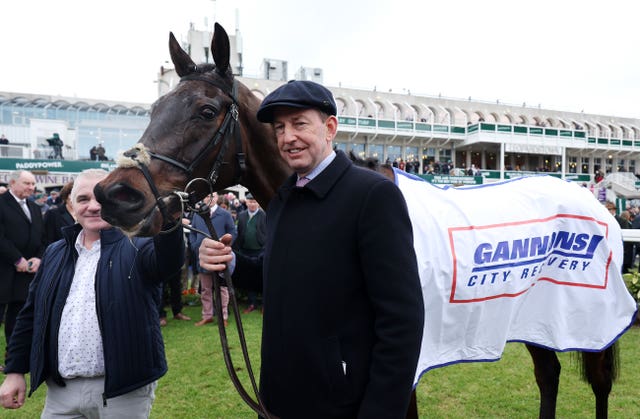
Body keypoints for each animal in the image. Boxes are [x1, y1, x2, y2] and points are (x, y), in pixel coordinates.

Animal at [92, 23, 628, 419]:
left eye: (205, 111)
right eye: (155, 108)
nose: (115, 195)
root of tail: (591, 199)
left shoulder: (399, 366)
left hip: (589, 317)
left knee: (599, 382)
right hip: (535, 316)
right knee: (548, 375)